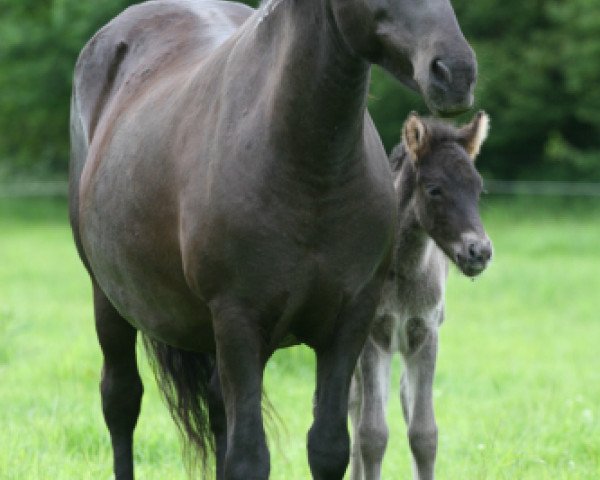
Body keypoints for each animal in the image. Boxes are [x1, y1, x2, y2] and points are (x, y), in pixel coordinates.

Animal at [67, 0, 478, 478]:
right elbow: (249, 457)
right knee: (121, 402)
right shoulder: (239, 323)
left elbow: (329, 447)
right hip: (110, 301)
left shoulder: (350, 323)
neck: (309, 171)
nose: (455, 72)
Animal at [350, 112, 494, 480]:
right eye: (434, 190)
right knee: (355, 407)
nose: (480, 252)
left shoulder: (426, 334)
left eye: (478, 188)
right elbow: (372, 433)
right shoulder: (373, 337)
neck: (404, 274)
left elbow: (424, 434)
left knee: (399, 396)